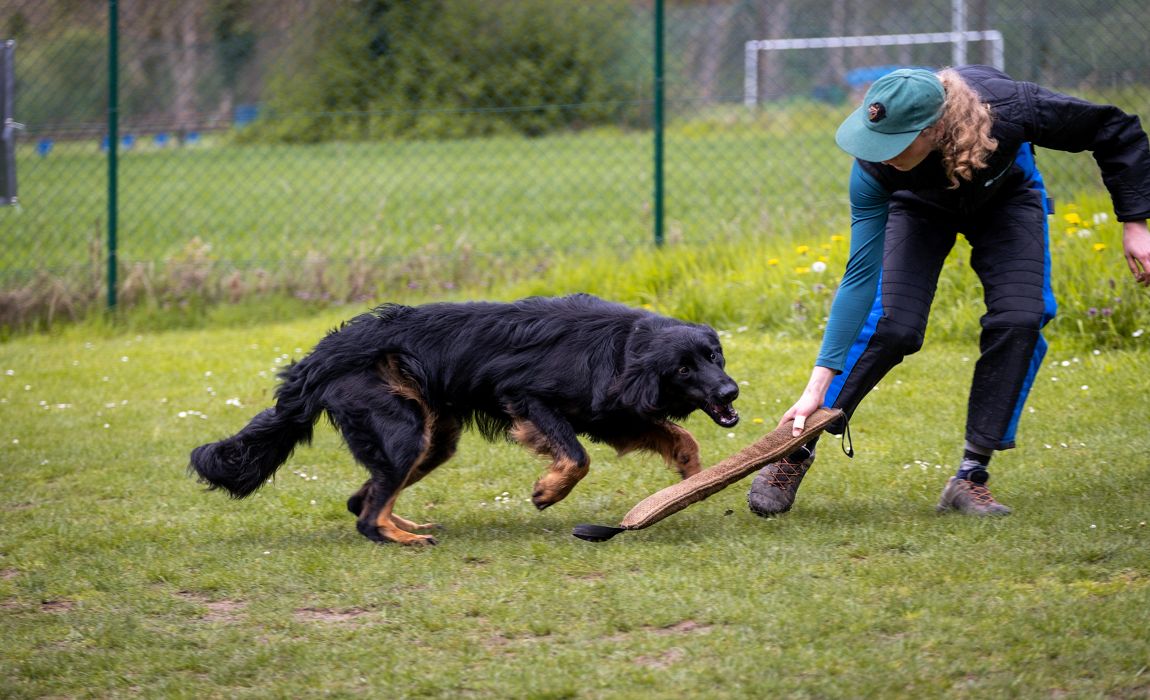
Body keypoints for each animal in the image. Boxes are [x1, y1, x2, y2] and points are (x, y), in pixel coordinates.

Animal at [190, 291, 736, 542]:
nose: (731, 392)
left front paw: (691, 477)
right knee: (367, 515)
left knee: (361, 499)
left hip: (432, 439)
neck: (622, 348)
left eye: (715, 355)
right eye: (684, 368)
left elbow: (682, 438)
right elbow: (577, 458)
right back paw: (403, 538)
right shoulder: (525, 397)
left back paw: (404, 523)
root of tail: (321, 357)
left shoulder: (615, 417)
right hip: (405, 432)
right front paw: (548, 490)